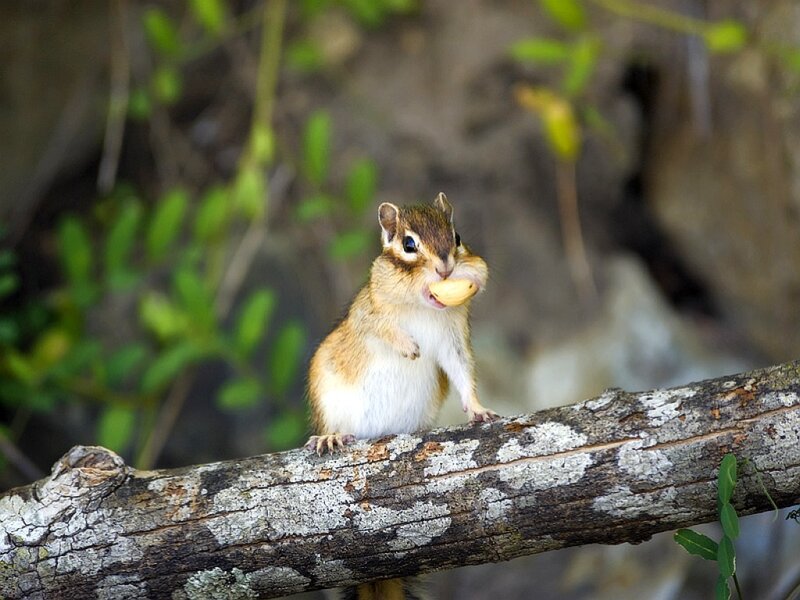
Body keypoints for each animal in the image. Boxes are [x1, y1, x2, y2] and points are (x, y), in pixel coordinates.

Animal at [305, 192, 498, 454]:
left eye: (457, 238)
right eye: (409, 245)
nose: (445, 269)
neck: (422, 309)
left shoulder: (454, 337)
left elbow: (462, 369)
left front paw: (478, 409)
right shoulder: (366, 314)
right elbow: (381, 329)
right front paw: (408, 347)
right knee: (334, 426)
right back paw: (331, 436)